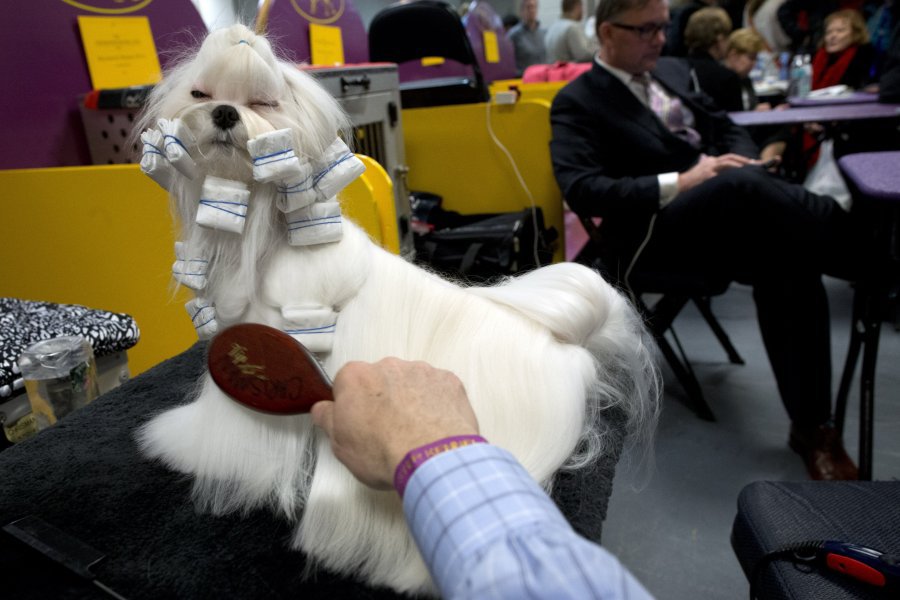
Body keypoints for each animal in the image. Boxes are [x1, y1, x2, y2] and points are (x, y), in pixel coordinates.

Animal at [134, 22, 656, 596]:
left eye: (263, 103)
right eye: (200, 94)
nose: (226, 113)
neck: (267, 234)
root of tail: (565, 349)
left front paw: (182, 447)